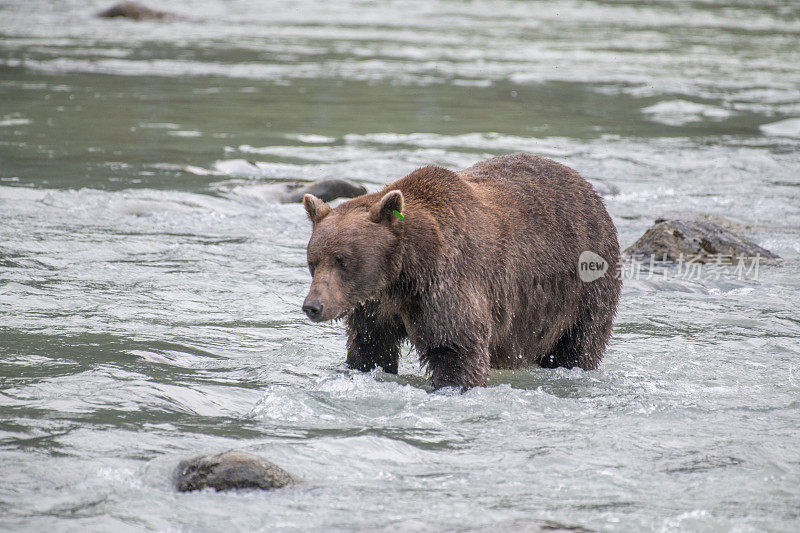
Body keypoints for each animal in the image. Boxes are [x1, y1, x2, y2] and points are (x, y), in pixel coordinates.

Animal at [304, 152, 620, 388]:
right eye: (313, 261)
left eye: (343, 260)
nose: (313, 306)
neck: (404, 274)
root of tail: (588, 187)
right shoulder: (376, 308)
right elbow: (369, 349)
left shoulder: (447, 285)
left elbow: (456, 350)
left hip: (583, 287)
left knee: (580, 343)